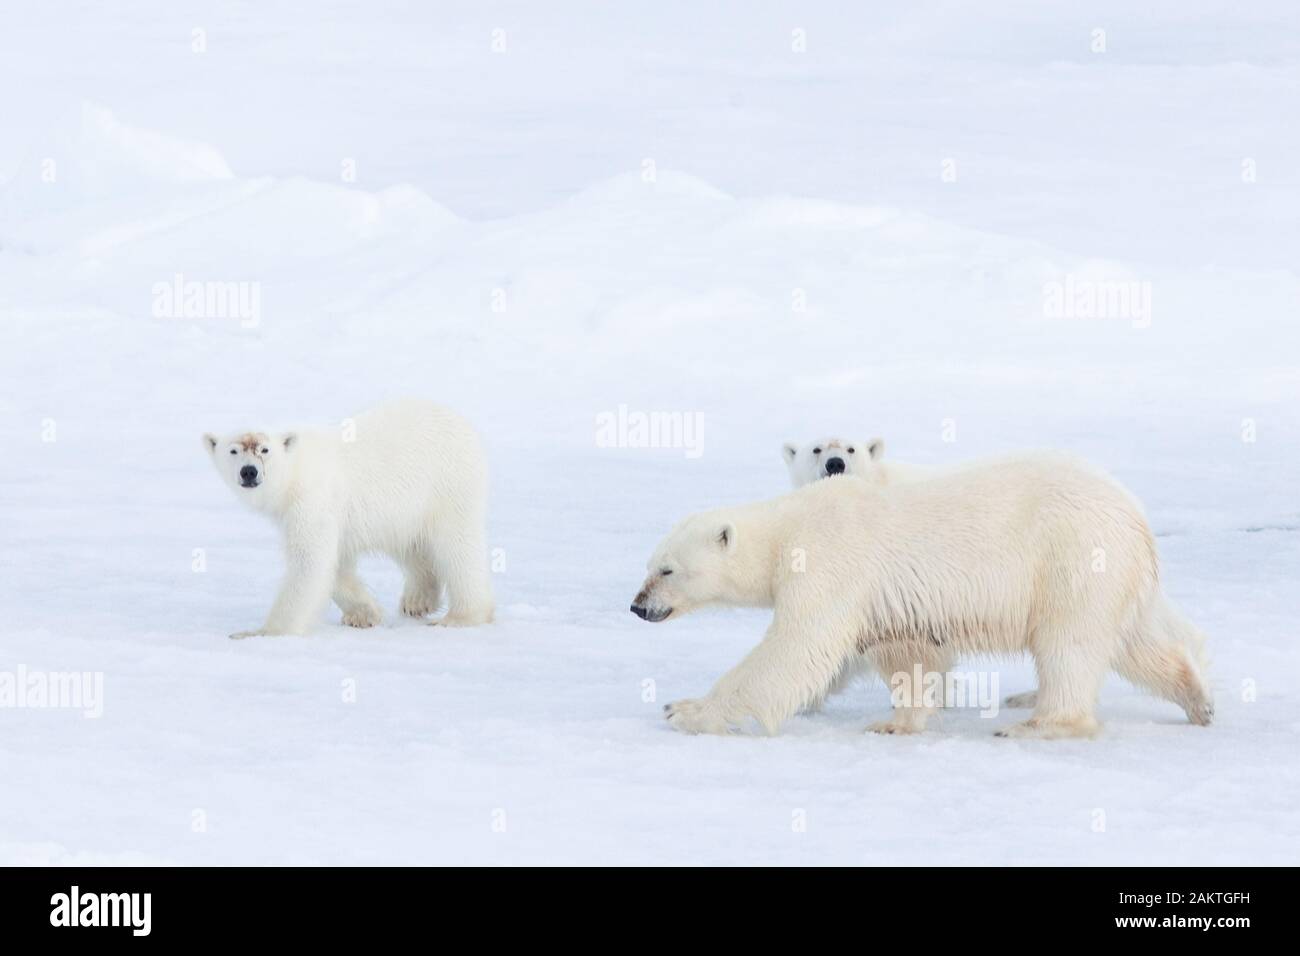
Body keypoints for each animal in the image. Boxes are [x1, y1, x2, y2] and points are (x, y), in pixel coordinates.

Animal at [203, 398, 494, 638]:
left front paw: (263, 632)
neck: (294, 472)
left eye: (264, 449)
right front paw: (363, 614)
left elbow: (310, 560)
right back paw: (417, 601)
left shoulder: (312, 499)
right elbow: (336, 563)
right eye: (233, 451)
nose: (249, 472)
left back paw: (462, 616)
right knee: (410, 543)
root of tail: (462, 422)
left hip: (447, 485)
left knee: (457, 546)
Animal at [630, 452, 1212, 739]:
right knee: (1134, 643)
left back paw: (1037, 724)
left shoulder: (828, 559)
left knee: (1069, 644)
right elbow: (904, 653)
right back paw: (1197, 699)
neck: (788, 527)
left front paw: (684, 710)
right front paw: (894, 722)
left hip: (1073, 558)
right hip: (1113, 575)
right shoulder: (888, 601)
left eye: (667, 569)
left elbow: (798, 646)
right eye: (648, 564)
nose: (637, 606)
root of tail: (1135, 516)